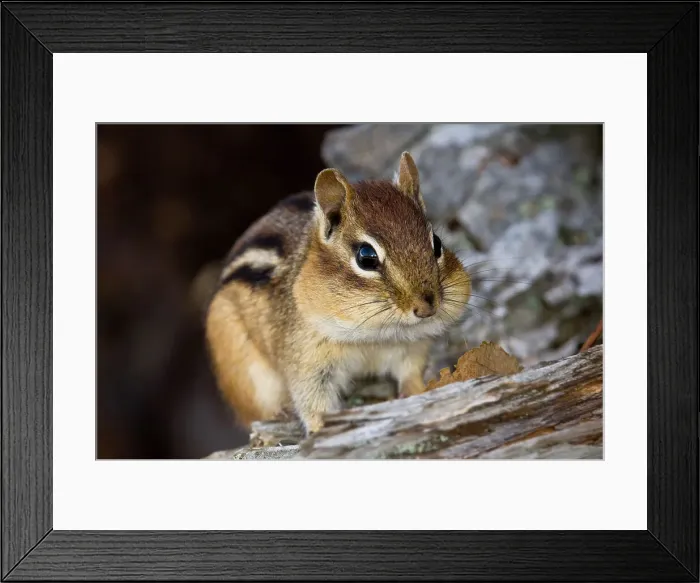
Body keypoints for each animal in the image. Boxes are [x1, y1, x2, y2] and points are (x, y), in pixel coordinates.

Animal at [204, 151, 472, 435]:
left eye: (437, 243)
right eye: (366, 257)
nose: (427, 307)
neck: (375, 336)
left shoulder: (411, 349)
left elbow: (411, 375)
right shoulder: (307, 360)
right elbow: (313, 403)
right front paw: (320, 429)